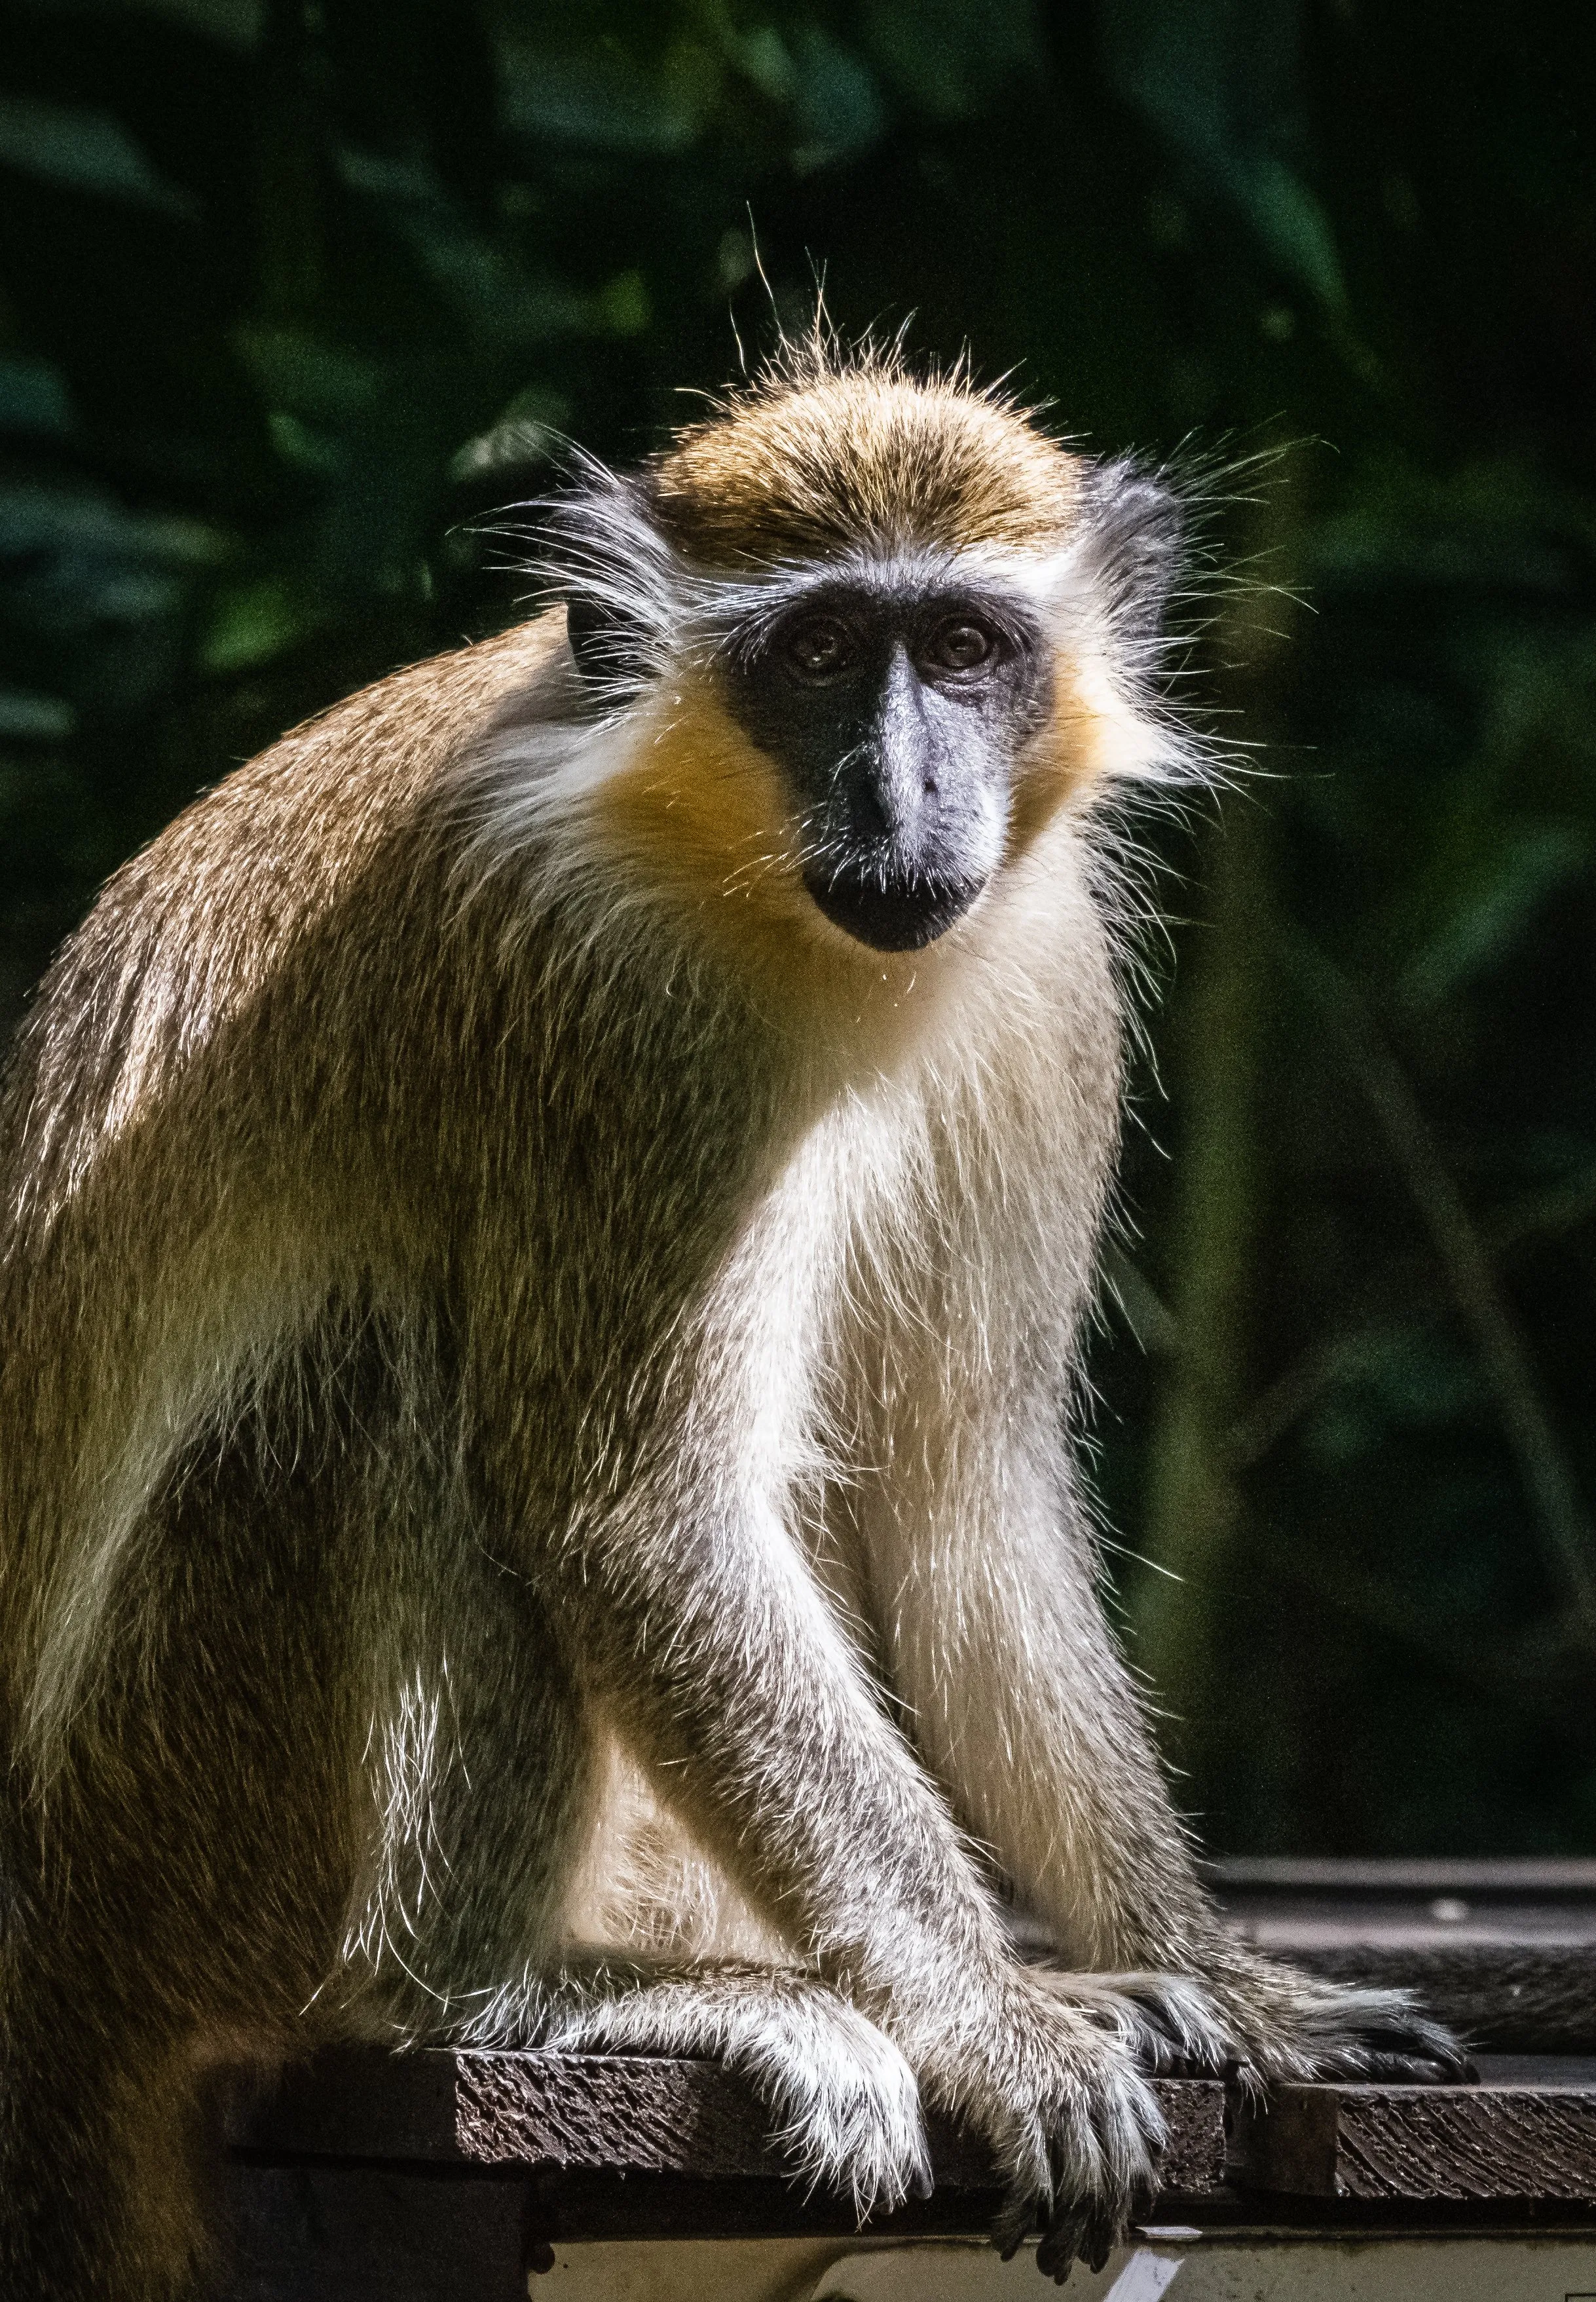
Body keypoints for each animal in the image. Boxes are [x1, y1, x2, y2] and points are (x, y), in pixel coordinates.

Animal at [0, 334, 1466, 2299]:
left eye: (968, 649)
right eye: (822, 651)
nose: (905, 797)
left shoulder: (1048, 967)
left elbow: (961, 1495)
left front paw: (1212, 1982)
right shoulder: (616, 1001)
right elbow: (635, 1518)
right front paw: (993, 2025)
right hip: (168, 1817)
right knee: (384, 1387)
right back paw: (491, 1998)